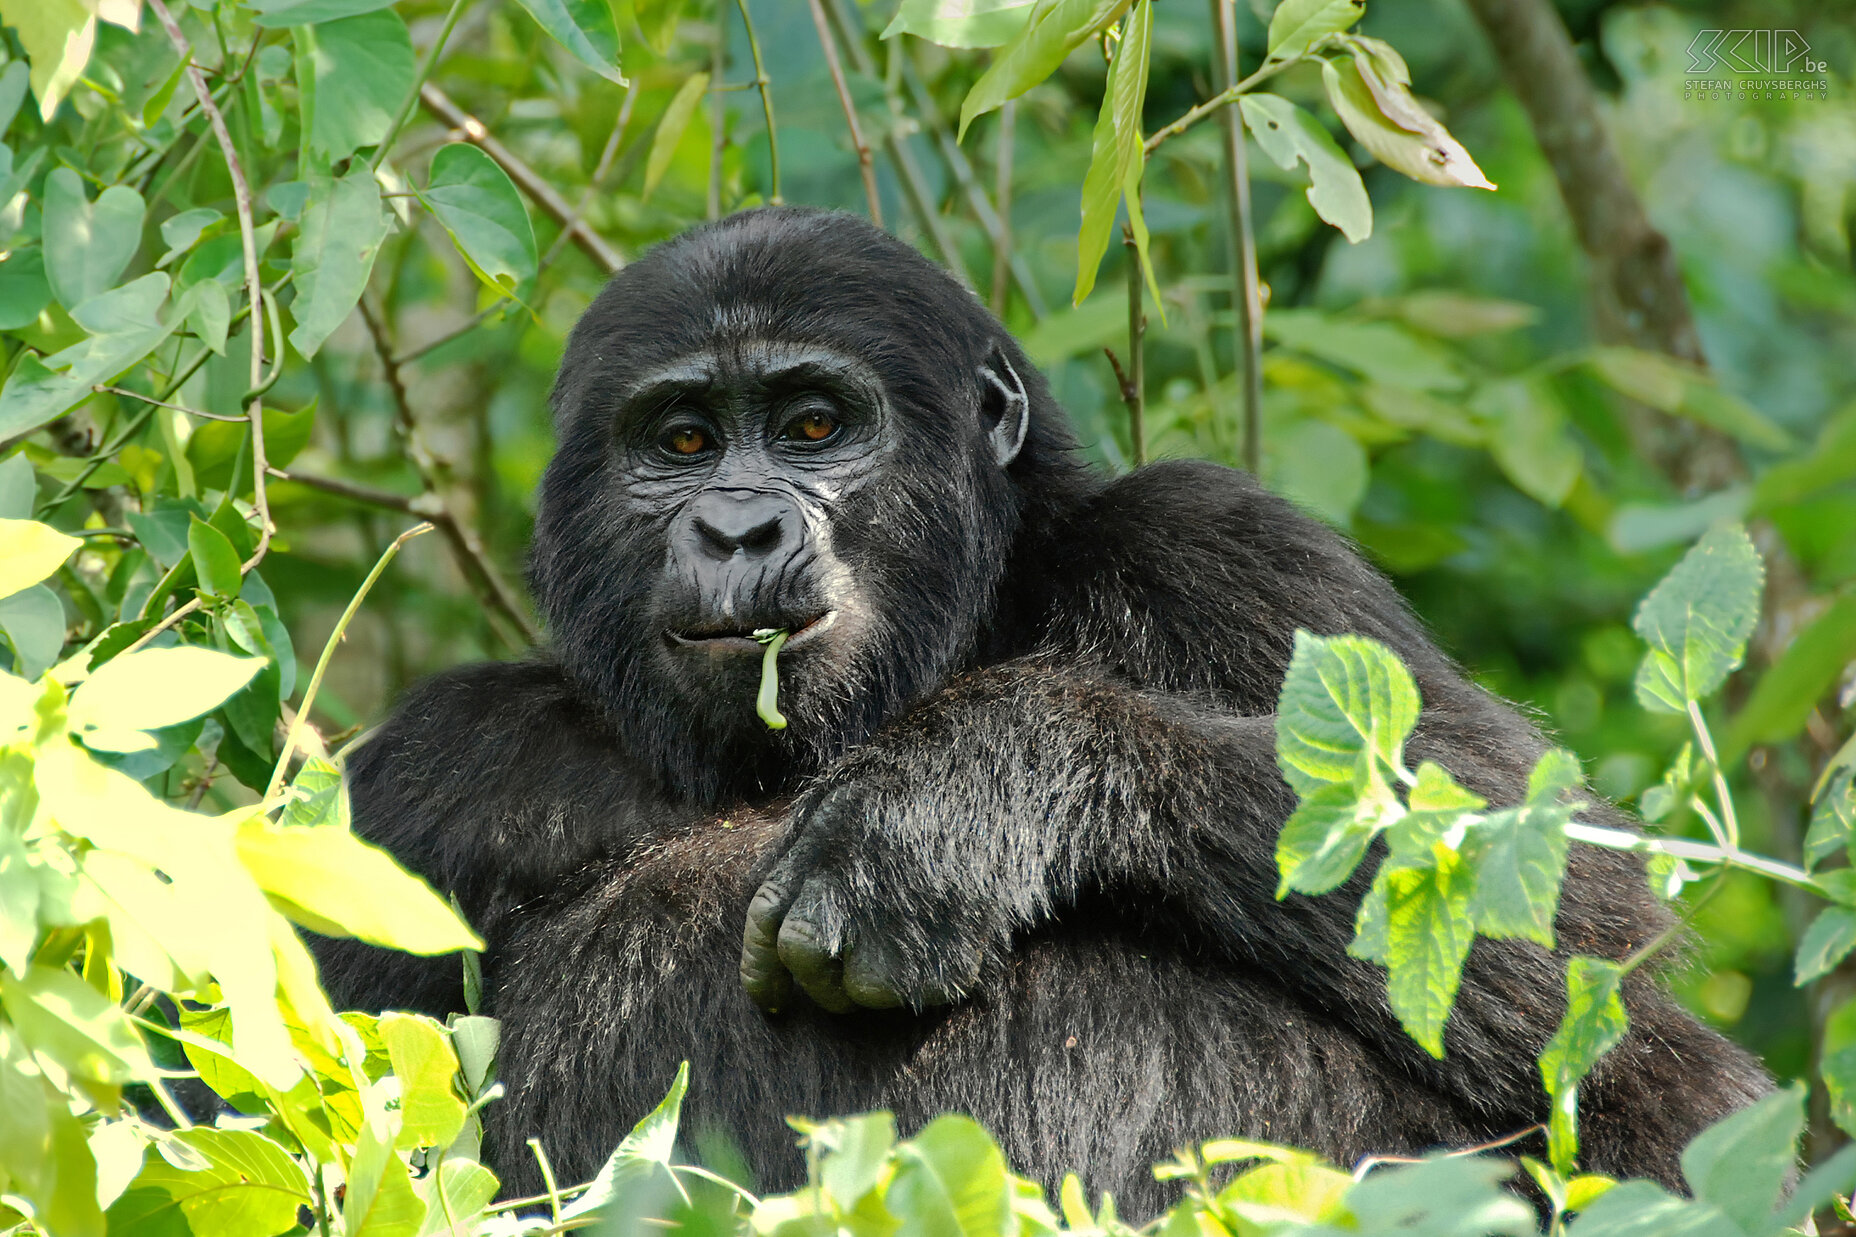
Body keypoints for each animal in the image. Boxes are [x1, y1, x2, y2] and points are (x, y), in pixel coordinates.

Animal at [315, 204, 1766, 1210]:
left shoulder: (1221, 551)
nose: (736, 527)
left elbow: (1555, 906)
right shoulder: (432, 781)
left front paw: (949, 801)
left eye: (812, 424)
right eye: (678, 441)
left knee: (1663, 1095)